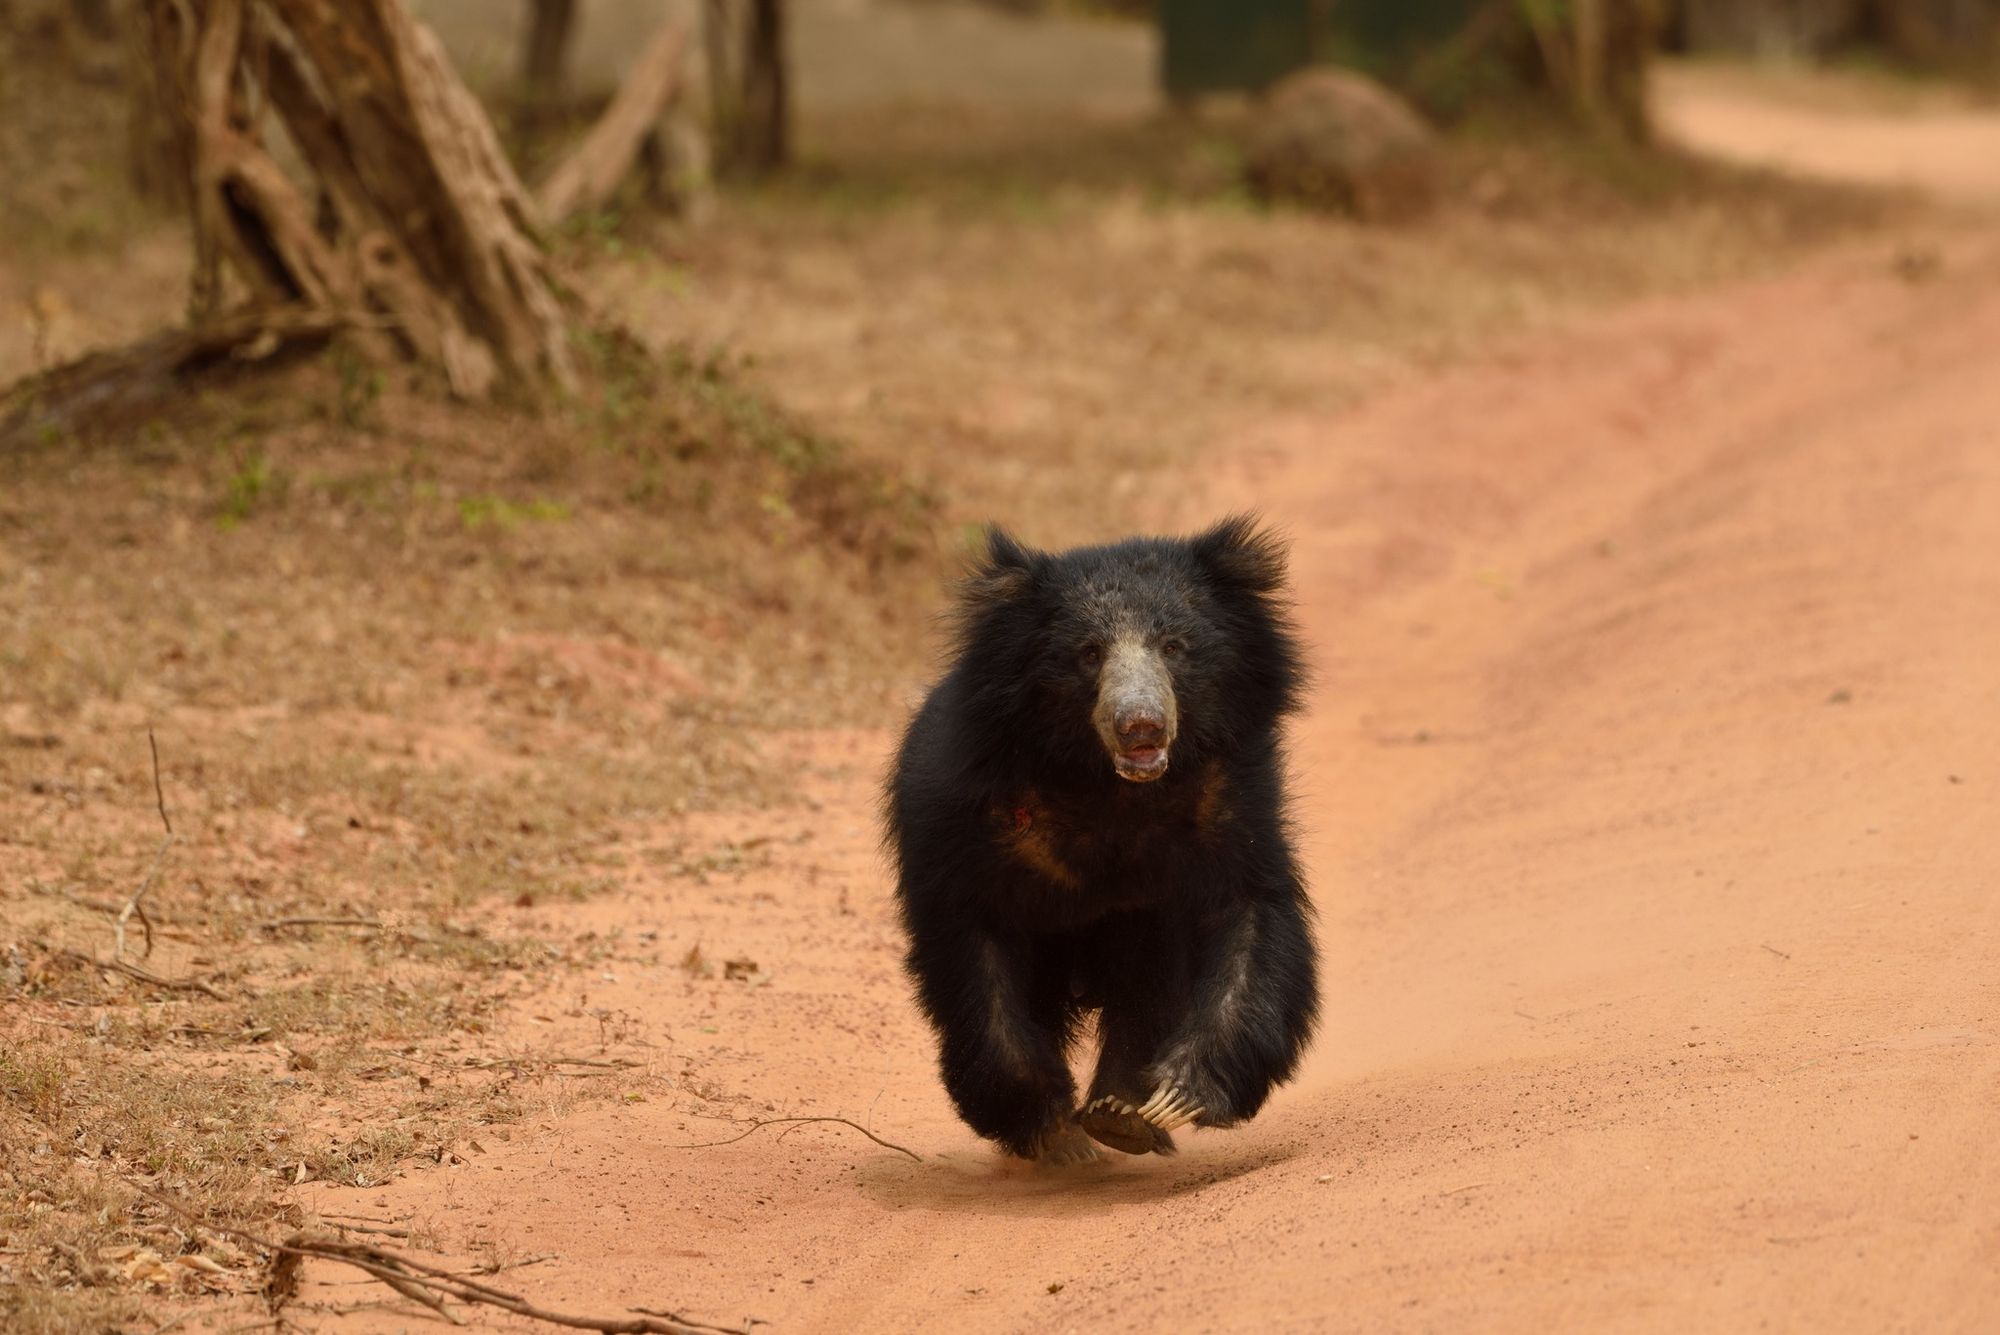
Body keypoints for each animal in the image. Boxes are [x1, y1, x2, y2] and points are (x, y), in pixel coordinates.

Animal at [884, 516, 1320, 1164]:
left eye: (1174, 646)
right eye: (1088, 654)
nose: (1140, 723)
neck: (1108, 785)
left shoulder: (1232, 800)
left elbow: (1248, 919)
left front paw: (1177, 1096)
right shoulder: (965, 817)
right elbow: (975, 956)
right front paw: (1047, 1125)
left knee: (1144, 992)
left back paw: (1121, 1115)